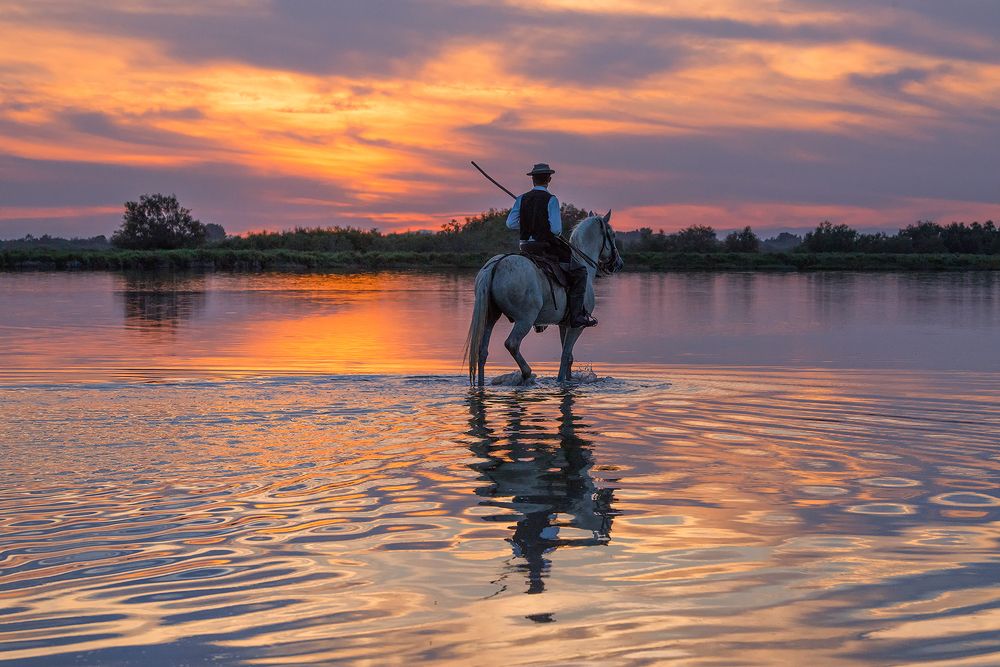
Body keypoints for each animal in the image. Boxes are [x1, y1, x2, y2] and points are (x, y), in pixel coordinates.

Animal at [464, 211, 624, 386]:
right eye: (613, 235)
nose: (619, 264)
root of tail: (496, 264)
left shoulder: (564, 324)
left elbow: (569, 358)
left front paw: (568, 380)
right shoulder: (576, 326)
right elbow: (565, 356)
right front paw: (561, 381)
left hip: (491, 316)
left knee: (482, 351)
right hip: (524, 320)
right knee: (512, 344)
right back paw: (526, 373)